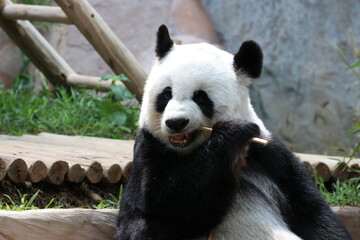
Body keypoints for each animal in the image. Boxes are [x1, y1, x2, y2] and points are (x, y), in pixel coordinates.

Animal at [116, 24, 352, 240]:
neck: (190, 151)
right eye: (166, 94)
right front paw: (232, 131)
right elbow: (161, 202)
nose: (176, 122)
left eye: (201, 97)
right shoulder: (149, 147)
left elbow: (311, 212)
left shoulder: (268, 157)